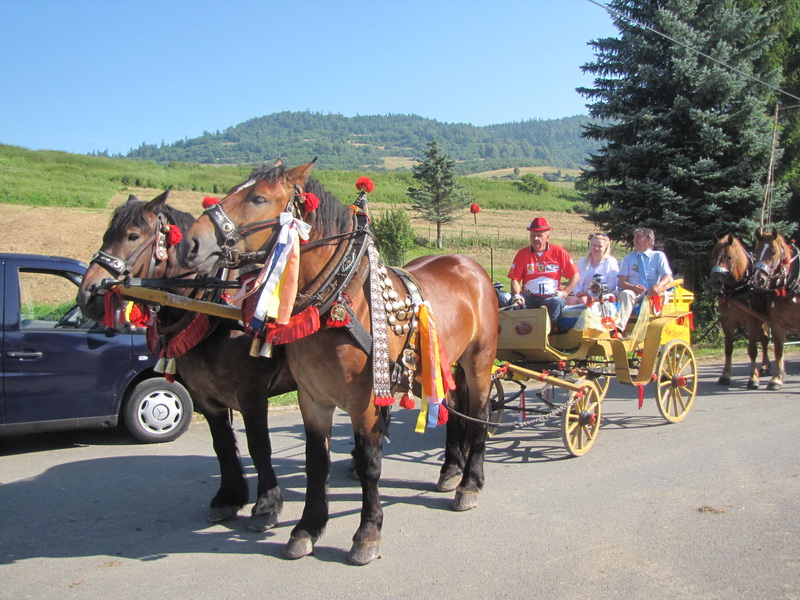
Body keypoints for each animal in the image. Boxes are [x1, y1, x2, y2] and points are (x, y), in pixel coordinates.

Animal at [76, 191, 295, 531]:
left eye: (132, 235)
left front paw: (267, 505)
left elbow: (259, 446)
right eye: (105, 235)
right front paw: (229, 497)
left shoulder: (252, 395)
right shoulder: (206, 396)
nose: (89, 294)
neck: (213, 311)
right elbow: (223, 445)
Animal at [180, 161, 499, 565]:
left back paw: (470, 483)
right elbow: (317, 461)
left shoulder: (365, 403)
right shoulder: (312, 399)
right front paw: (306, 529)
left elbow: (369, 463)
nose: (190, 244)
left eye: (258, 198)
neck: (340, 300)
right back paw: (449, 472)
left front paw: (367, 534)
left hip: (479, 361)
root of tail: (470, 265)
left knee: (479, 414)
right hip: (435, 367)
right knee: (454, 406)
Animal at [709, 234, 771, 388]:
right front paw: (725, 375)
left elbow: (752, 350)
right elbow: (728, 348)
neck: (737, 289)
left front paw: (753, 378)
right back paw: (765, 366)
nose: (715, 282)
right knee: (765, 339)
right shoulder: (726, 322)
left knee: (766, 339)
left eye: (729, 257)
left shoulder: (751, 321)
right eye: (713, 256)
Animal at [751, 227, 800, 390]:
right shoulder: (776, 322)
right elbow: (778, 349)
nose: (759, 279)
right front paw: (776, 379)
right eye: (756, 251)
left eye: (773, 252)